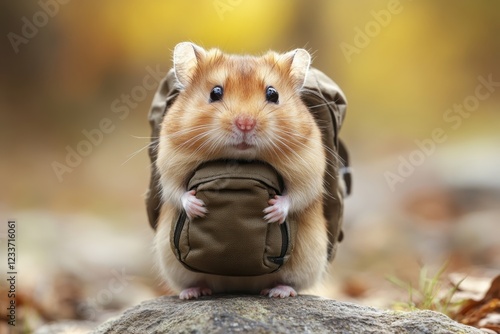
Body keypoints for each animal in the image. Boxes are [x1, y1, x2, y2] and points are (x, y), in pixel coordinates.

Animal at [154, 41, 330, 300]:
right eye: (215, 92)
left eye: (273, 94)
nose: (245, 124)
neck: (240, 158)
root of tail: (240, 286)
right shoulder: (169, 164)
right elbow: (178, 192)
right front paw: (199, 208)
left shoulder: (309, 168)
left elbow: (296, 196)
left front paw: (271, 211)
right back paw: (192, 293)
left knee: (290, 283)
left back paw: (279, 292)